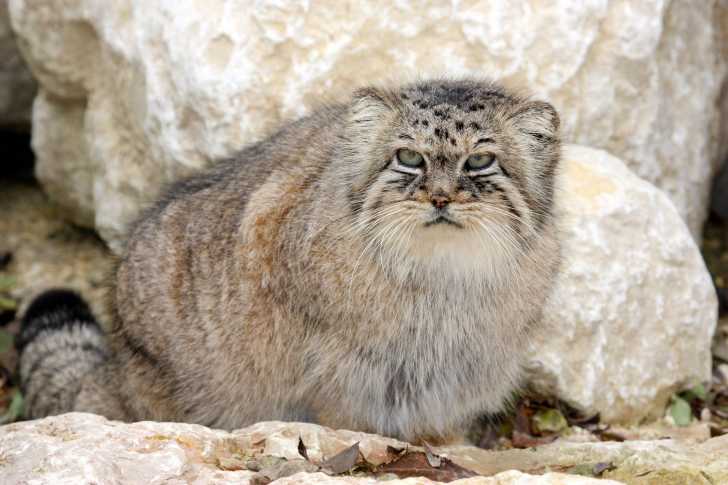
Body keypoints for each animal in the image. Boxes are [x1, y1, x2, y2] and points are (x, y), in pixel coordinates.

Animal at [18, 78, 564, 442]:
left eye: (480, 161)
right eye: (409, 158)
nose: (441, 197)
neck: (443, 280)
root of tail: (110, 368)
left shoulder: (452, 377)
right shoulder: (340, 370)